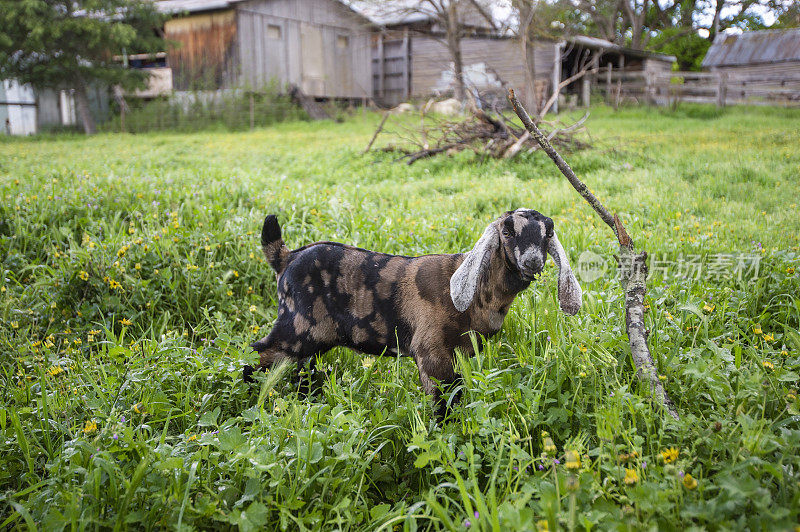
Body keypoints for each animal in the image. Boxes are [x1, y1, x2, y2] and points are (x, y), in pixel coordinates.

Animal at [244, 210, 580, 418]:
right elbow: (443, 404)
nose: (533, 261)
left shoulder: (462, 353)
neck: (480, 295)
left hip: (310, 339)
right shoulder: (431, 352)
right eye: (507, 232)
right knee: (257, 354)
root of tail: (286, 257)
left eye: (548, 233)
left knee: (303, 370)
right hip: (296, 327)